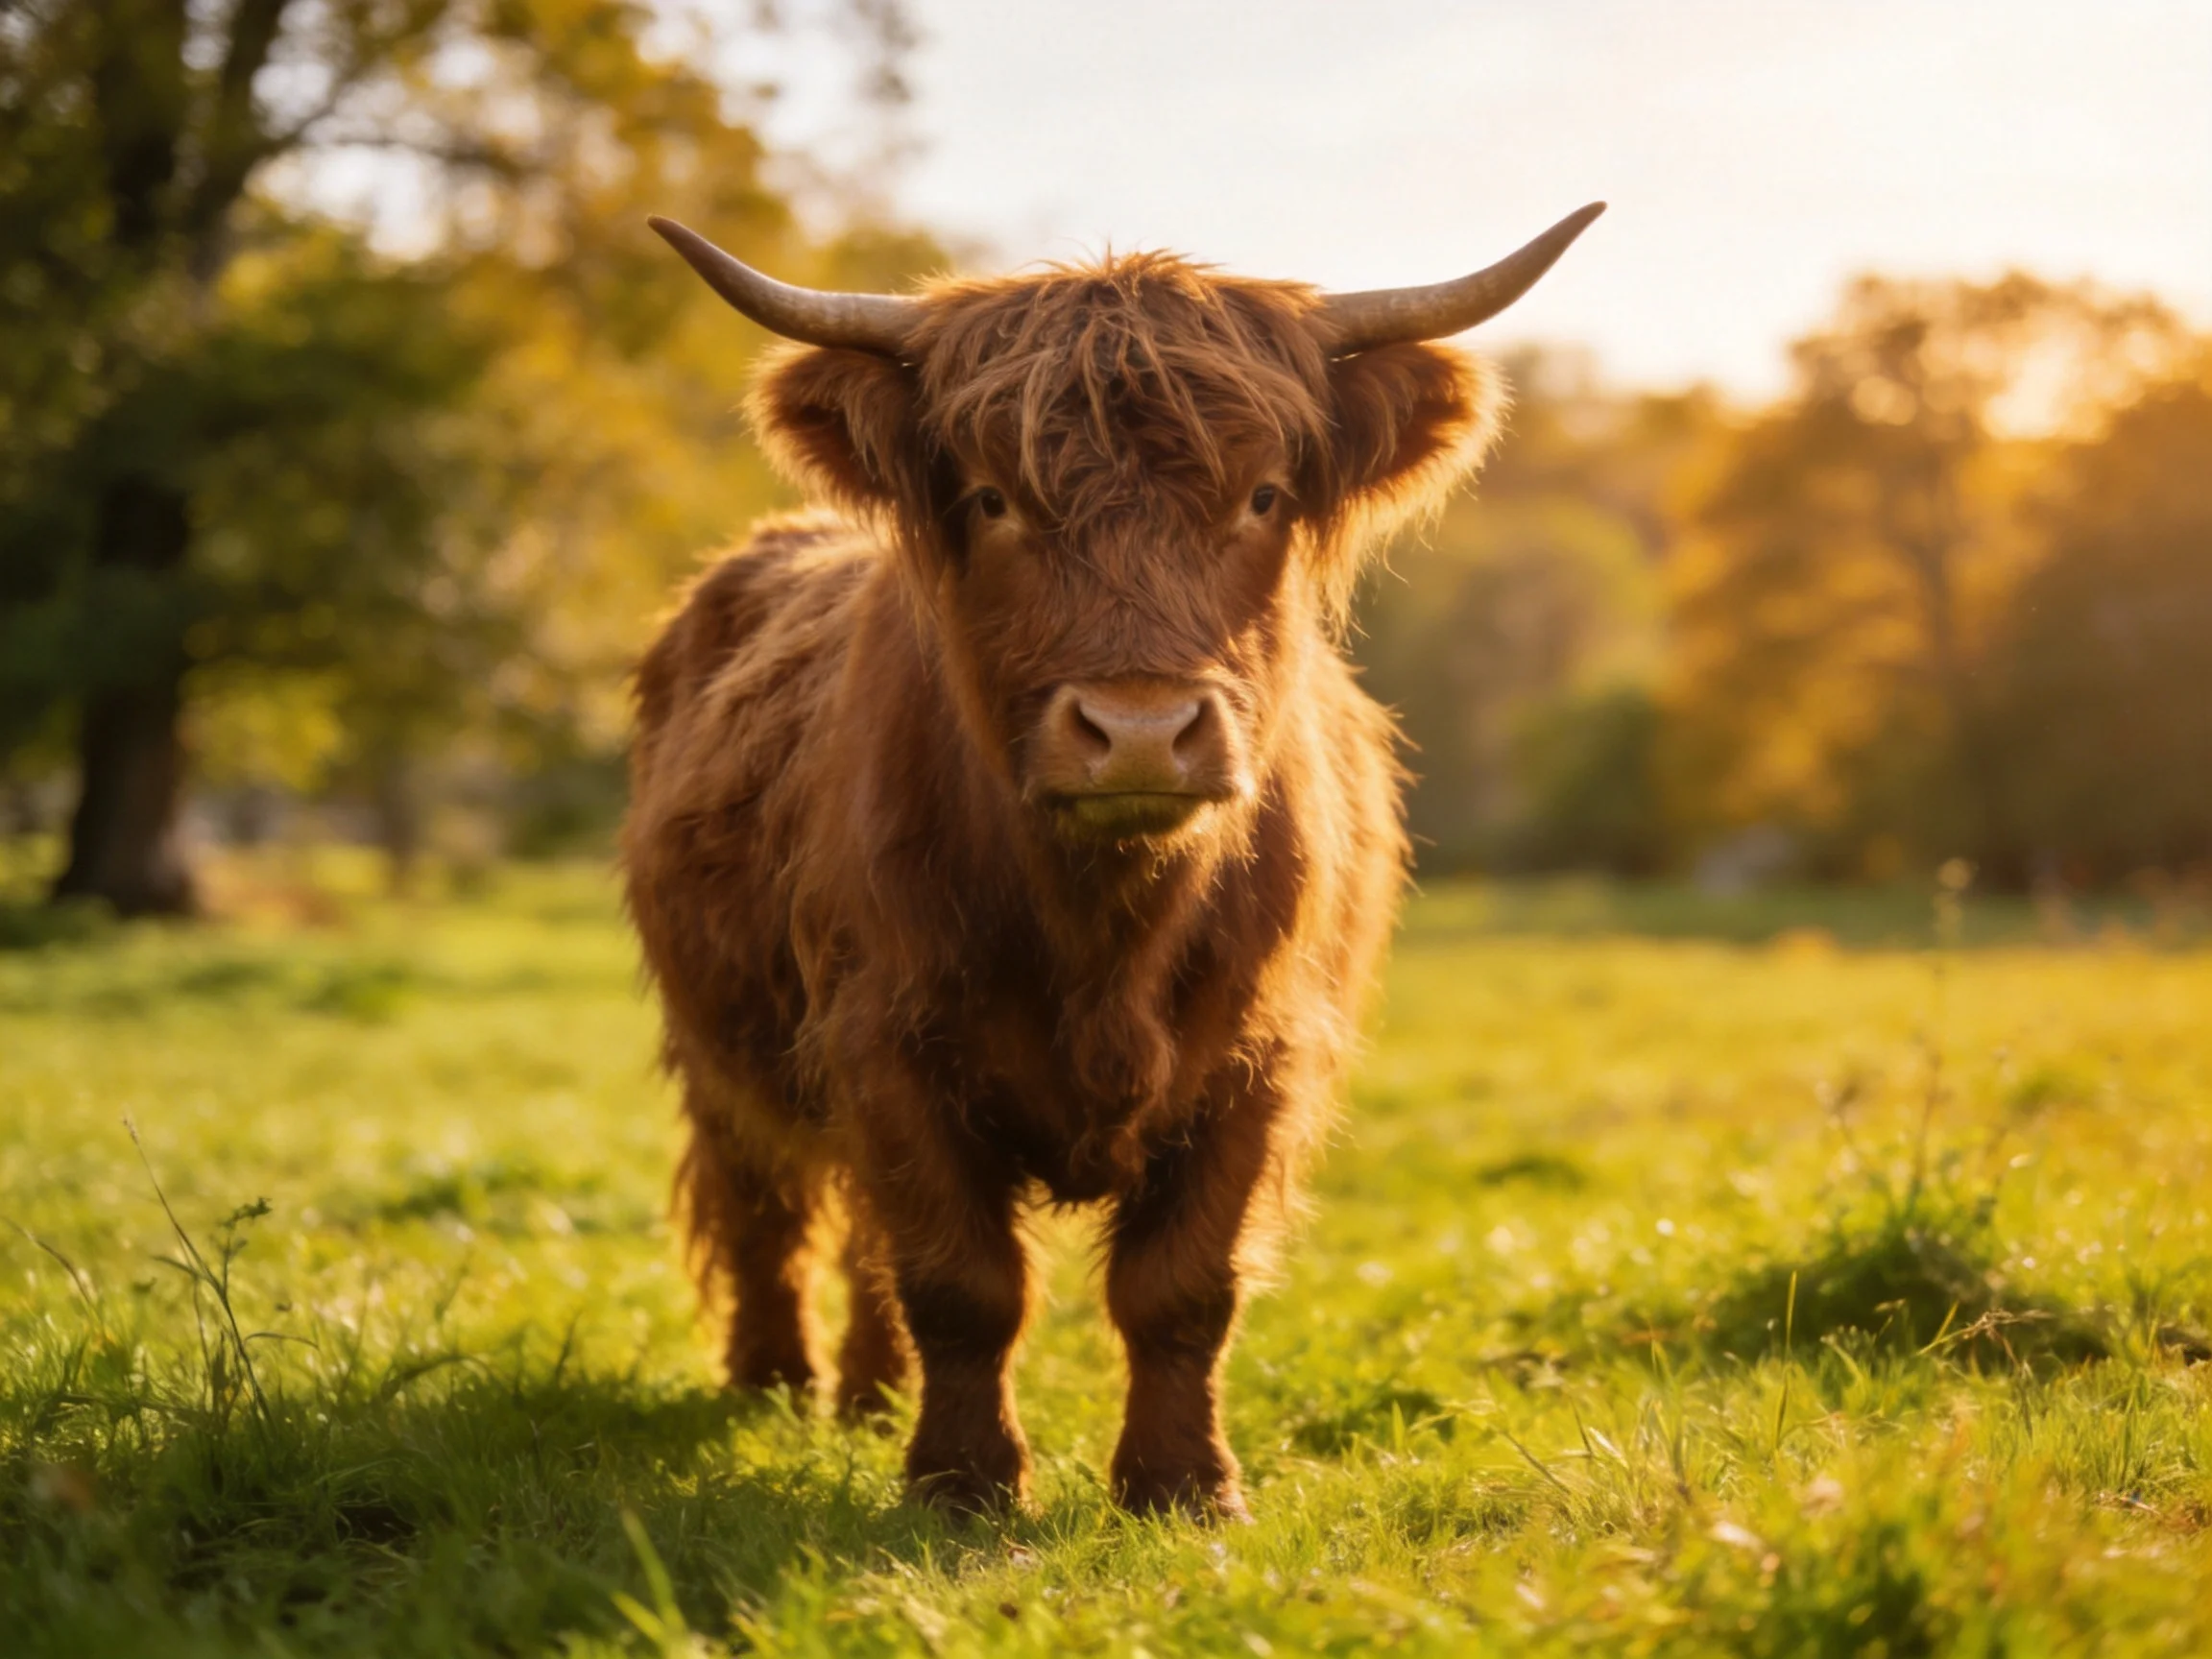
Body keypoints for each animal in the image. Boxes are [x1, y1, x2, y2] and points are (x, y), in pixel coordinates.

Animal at [622, 202, 1604, 1518]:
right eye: (992, 499)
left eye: (1264, 493)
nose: (1139, 730)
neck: (1107, 930)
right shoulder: (884, 1040)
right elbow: (962, 1280)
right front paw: (965, 1486)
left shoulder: (1260, 1056)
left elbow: (1182, 1285)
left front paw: (1185, 1486)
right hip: (719, 1047)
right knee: (763, 1204)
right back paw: (774, 1384)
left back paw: (870, 1394)